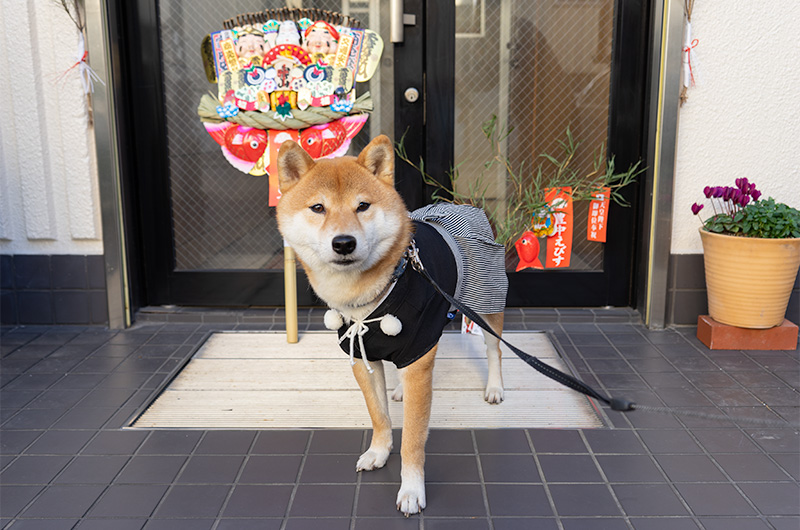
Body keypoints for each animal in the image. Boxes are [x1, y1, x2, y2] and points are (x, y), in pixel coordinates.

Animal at [276, 134, 506, 512]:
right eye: (318, 208)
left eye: (363, 206)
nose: (344, 243)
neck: (364, 299)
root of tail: (466, 206)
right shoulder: (361, 356)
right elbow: (378, 415)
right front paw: (379, 452)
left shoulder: (420, 354)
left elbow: (413, 437)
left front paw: (411, 490)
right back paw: (398, 389)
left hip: (485, 305)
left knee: (494, 351)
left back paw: (495, 388)